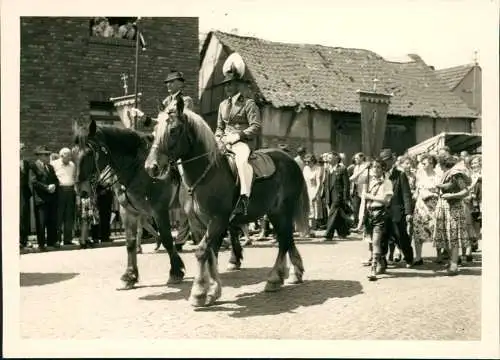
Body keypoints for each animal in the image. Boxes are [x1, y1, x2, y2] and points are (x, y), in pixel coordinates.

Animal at [144, 98, 308, 306]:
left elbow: (202, 252)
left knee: (284, 240)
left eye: (173, 130)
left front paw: (199, 292)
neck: (206, 175)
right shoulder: (199, 224)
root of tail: (291, 160)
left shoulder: (218, 220)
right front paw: (213, 290)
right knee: (286, 238)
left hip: (283, 210)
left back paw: (274, 279)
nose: (151, 167)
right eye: (153, 131)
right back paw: (293, 273)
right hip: (275, 213)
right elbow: (210, 254)